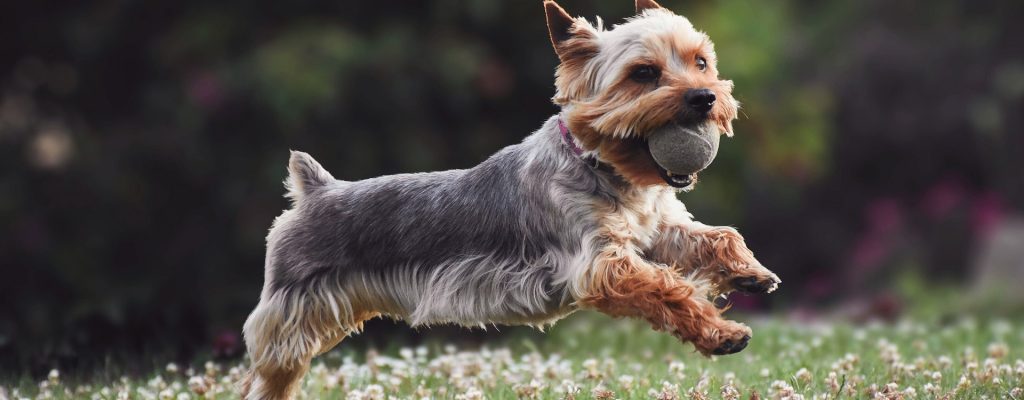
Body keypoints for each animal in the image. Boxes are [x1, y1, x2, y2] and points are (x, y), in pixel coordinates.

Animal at [241, 1, 774, 398]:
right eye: (643, 73)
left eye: (701, 62)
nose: (705, 97)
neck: (606, 166)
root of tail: (317, 189)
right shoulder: (599, 264)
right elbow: (668, 288)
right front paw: (724, 334)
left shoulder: (658, 227)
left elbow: (718, 236)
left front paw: (750, 272)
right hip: (294, 310)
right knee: (265, 374)